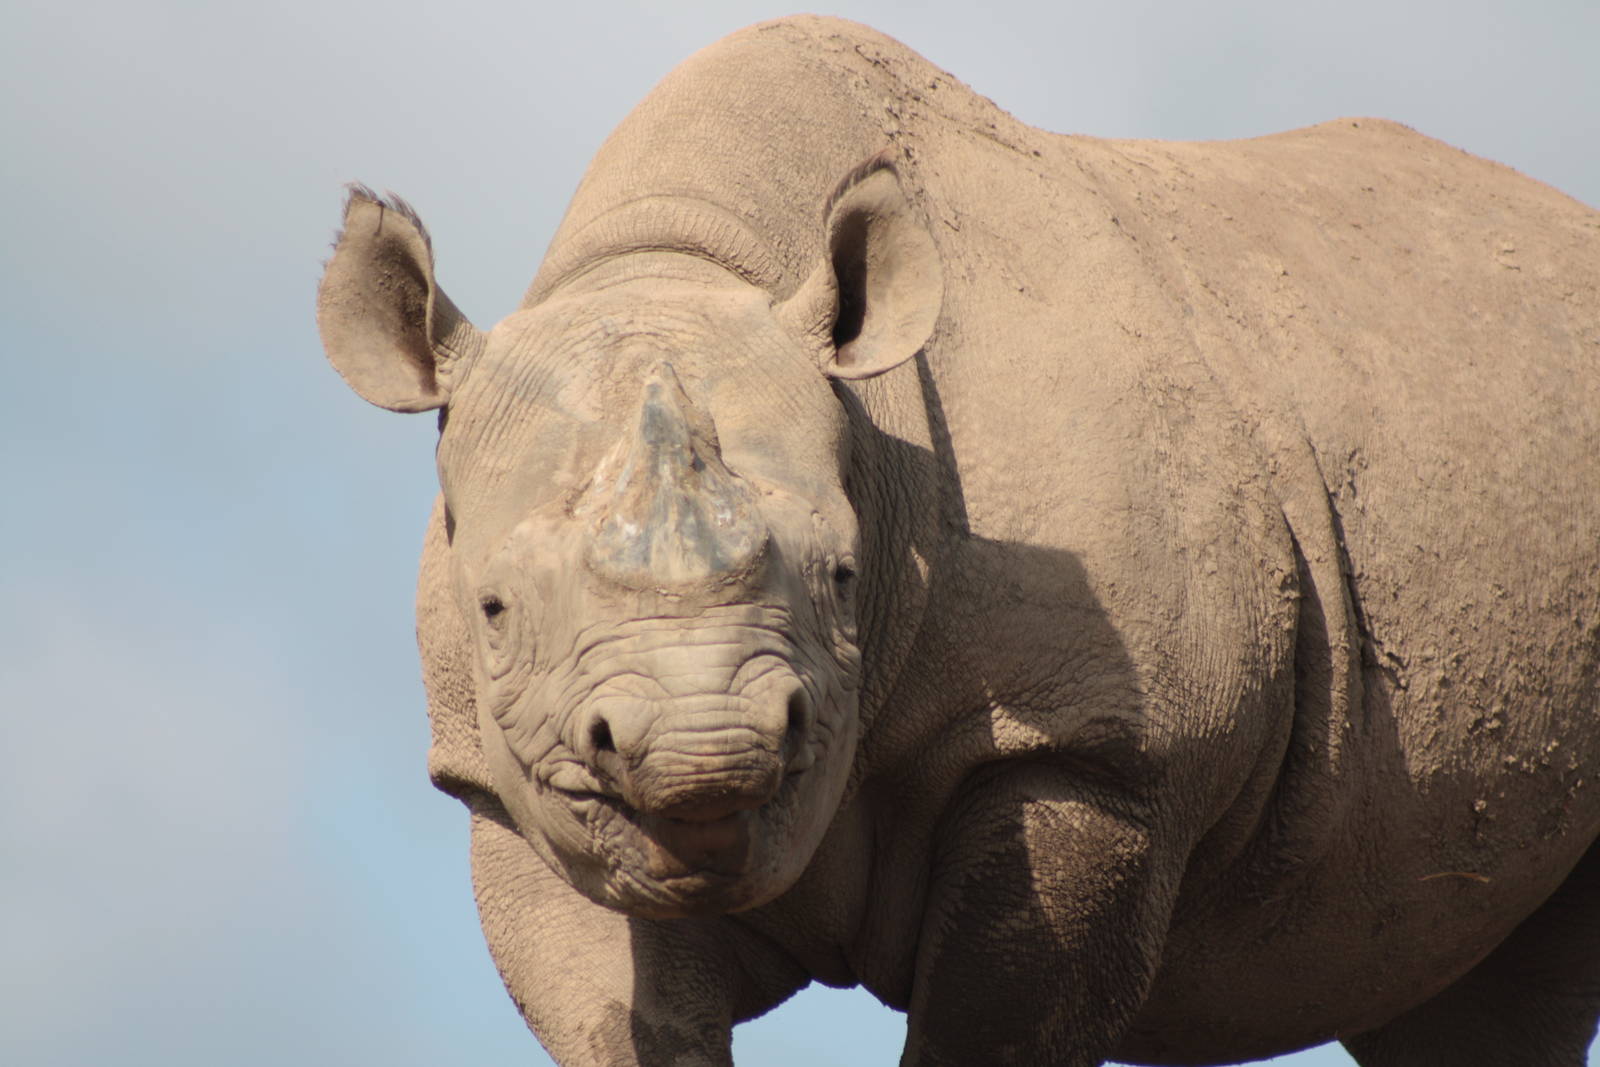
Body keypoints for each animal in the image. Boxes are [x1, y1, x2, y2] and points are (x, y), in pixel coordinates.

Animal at [317, 15, 1600, 1067]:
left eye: (843, 578)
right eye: (492, 610)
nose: (704, 751)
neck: (682, 260)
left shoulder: (1097, 744)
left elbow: (996, 1021)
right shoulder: (505, 784)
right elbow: (622, 1017)